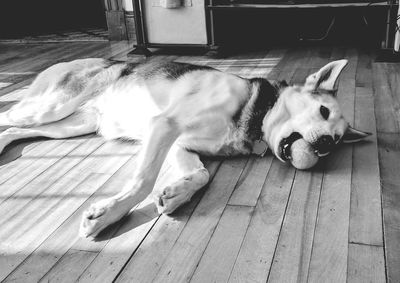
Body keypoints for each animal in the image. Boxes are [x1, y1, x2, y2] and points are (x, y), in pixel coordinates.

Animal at [0, 57, 370, 237]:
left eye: (338, 141)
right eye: (323, 112)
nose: (325, 145)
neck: (255, 111)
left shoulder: (180, 145)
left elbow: (202, 175)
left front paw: (176, 194)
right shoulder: (165, 125)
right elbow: (143, 181)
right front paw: (108, 214)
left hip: (72, 125)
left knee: (14, 130)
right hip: (52, 108)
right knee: (8, 117)